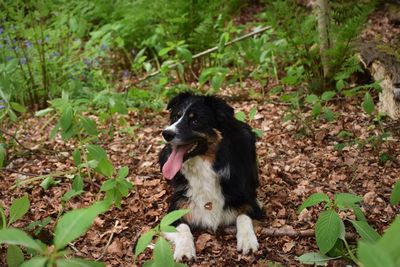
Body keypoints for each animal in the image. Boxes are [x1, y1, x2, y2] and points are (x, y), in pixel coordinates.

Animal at [158, 92, 264, 262]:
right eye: (175, 117)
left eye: (195, 121)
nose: (166, 133)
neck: (206, 165)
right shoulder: (175, 209)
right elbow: (183, 228)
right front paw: (185, 250)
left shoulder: (252, 203)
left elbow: (243, 216)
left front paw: (247, 240)